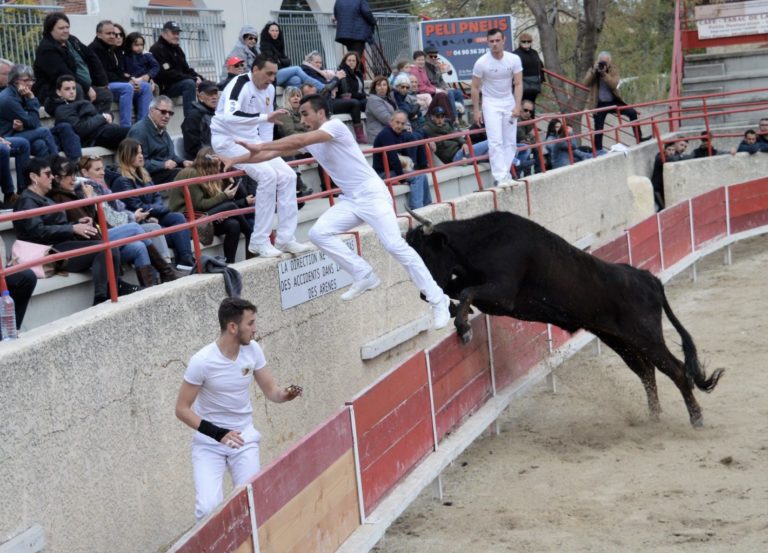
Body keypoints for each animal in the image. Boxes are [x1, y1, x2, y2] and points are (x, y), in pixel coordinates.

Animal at [404, 209, 724, 424]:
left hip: (647, 337)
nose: (421, 295)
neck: (486, 240)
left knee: (676, 370)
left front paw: (464, 327)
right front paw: (455, 312)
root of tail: (649, 278)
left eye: (426, 254)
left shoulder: (503, 295)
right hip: (620, 340)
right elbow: (459, 289)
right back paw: (654, 417)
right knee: (646, 371)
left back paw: (696, 418)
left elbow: (466, 291)